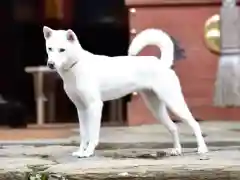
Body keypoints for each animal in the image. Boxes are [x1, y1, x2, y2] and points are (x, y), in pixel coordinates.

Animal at [43, 26, 208, 158]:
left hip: (174, 102)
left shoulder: (95, 106)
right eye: (50, 48)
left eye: (62, 50)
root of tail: (162, 63)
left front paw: (88, 152)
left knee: (194, 124)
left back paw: (202, 149)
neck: (76, 66)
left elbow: (93, 134)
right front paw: (81, 151)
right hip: (156, 107)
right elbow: (84, 134)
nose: (50, 64)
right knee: (173, 127)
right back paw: (177, 150)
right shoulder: (81, 109)